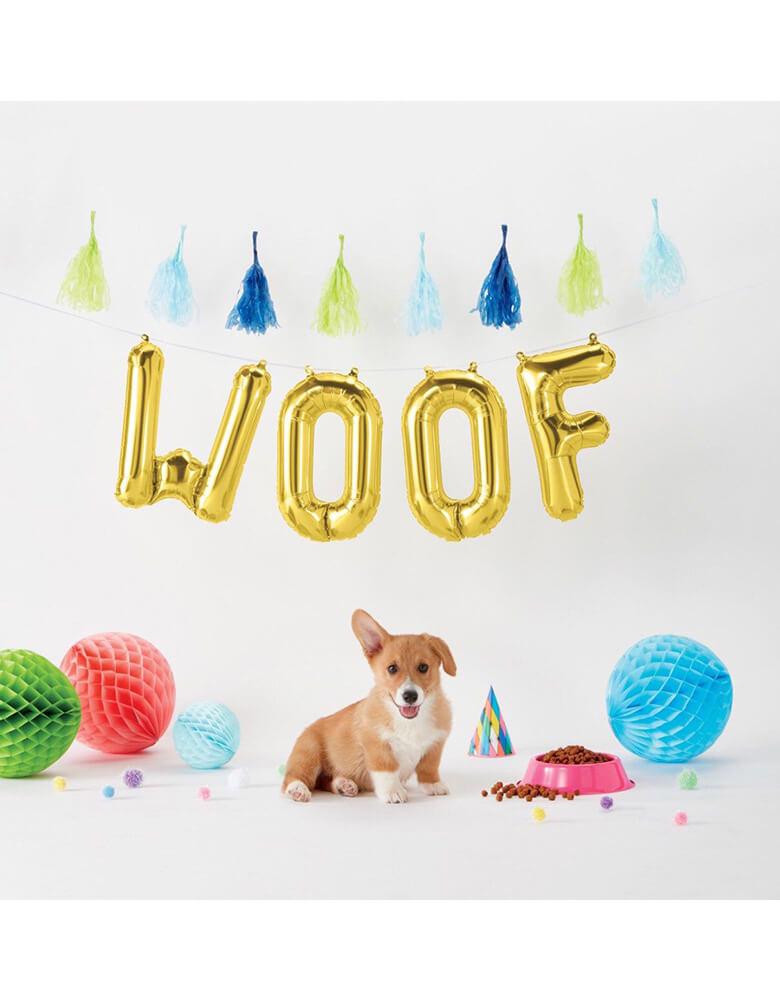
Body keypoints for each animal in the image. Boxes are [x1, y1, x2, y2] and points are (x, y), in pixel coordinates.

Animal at [284, 608, 458, 804]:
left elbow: (429, 767)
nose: (410, 696)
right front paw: (392, 791)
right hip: (308, 752)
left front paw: (433, 784)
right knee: (293, 777)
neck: (409, 721)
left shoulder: (436, 744)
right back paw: (297, 789)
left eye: (423, 667)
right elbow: (387, 769)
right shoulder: (376, 744)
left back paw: (344, 784)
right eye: (392, 668)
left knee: (325, 781)